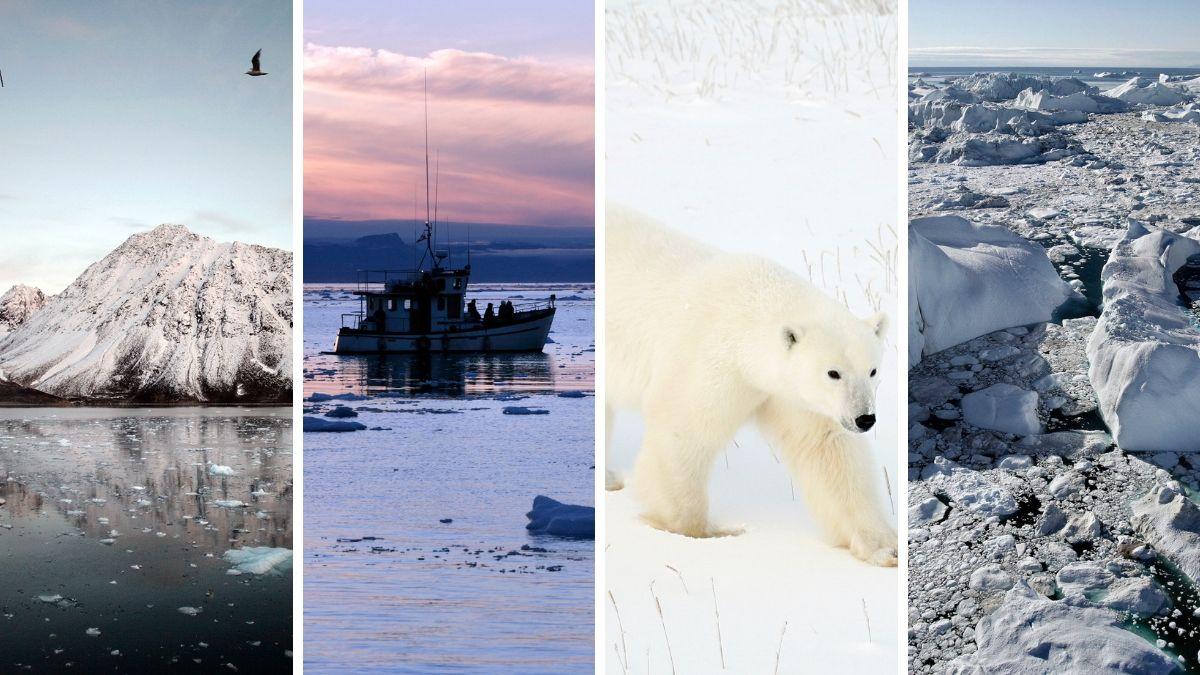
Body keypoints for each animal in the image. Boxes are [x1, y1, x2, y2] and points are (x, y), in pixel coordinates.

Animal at [604, 204, 897, 562]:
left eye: (872, 370)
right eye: (833, 372)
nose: (864, 419)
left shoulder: (789, 394)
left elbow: (826, 450)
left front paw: (882, 547)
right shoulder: (710, 361)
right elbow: (683, 432)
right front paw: (694, 531)